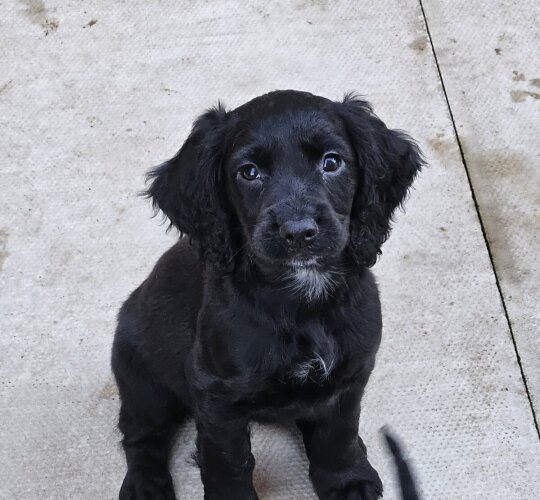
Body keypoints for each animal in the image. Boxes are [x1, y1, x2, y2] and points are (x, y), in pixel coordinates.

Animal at [112, 91, 424, 500]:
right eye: (249, 172)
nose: (299, 232)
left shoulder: (350, 376)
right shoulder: (216, 395)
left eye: (332, 162)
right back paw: (145, 485)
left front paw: (347, 481)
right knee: (140, 435)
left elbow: (338, 435)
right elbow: (228, 462)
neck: (302, 300)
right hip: (143, 382)